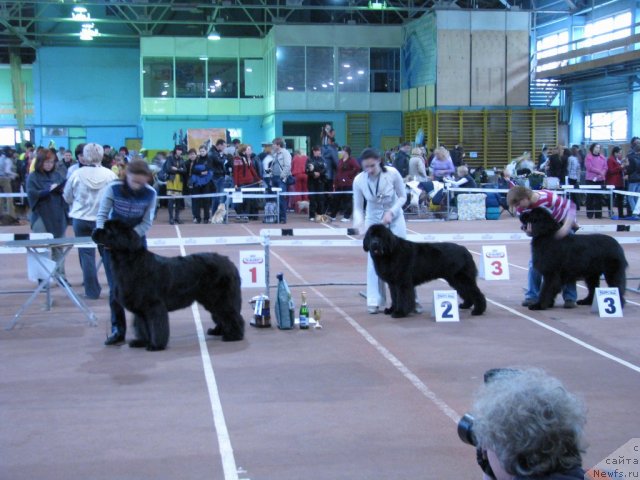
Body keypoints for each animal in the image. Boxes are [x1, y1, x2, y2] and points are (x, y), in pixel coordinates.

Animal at [92, 219, 245, 350]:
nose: (94, 230)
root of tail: (230, 263)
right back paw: (217, 331)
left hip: (221, 298)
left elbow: (156, 326)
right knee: (221, 316)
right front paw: (141, 342)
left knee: (231, 315)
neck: (130, 261)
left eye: (108, 229)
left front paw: (155, 345)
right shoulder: (141, 307)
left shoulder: (154, 305)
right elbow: (142, 326)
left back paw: (233, 336)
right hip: (211, 300)